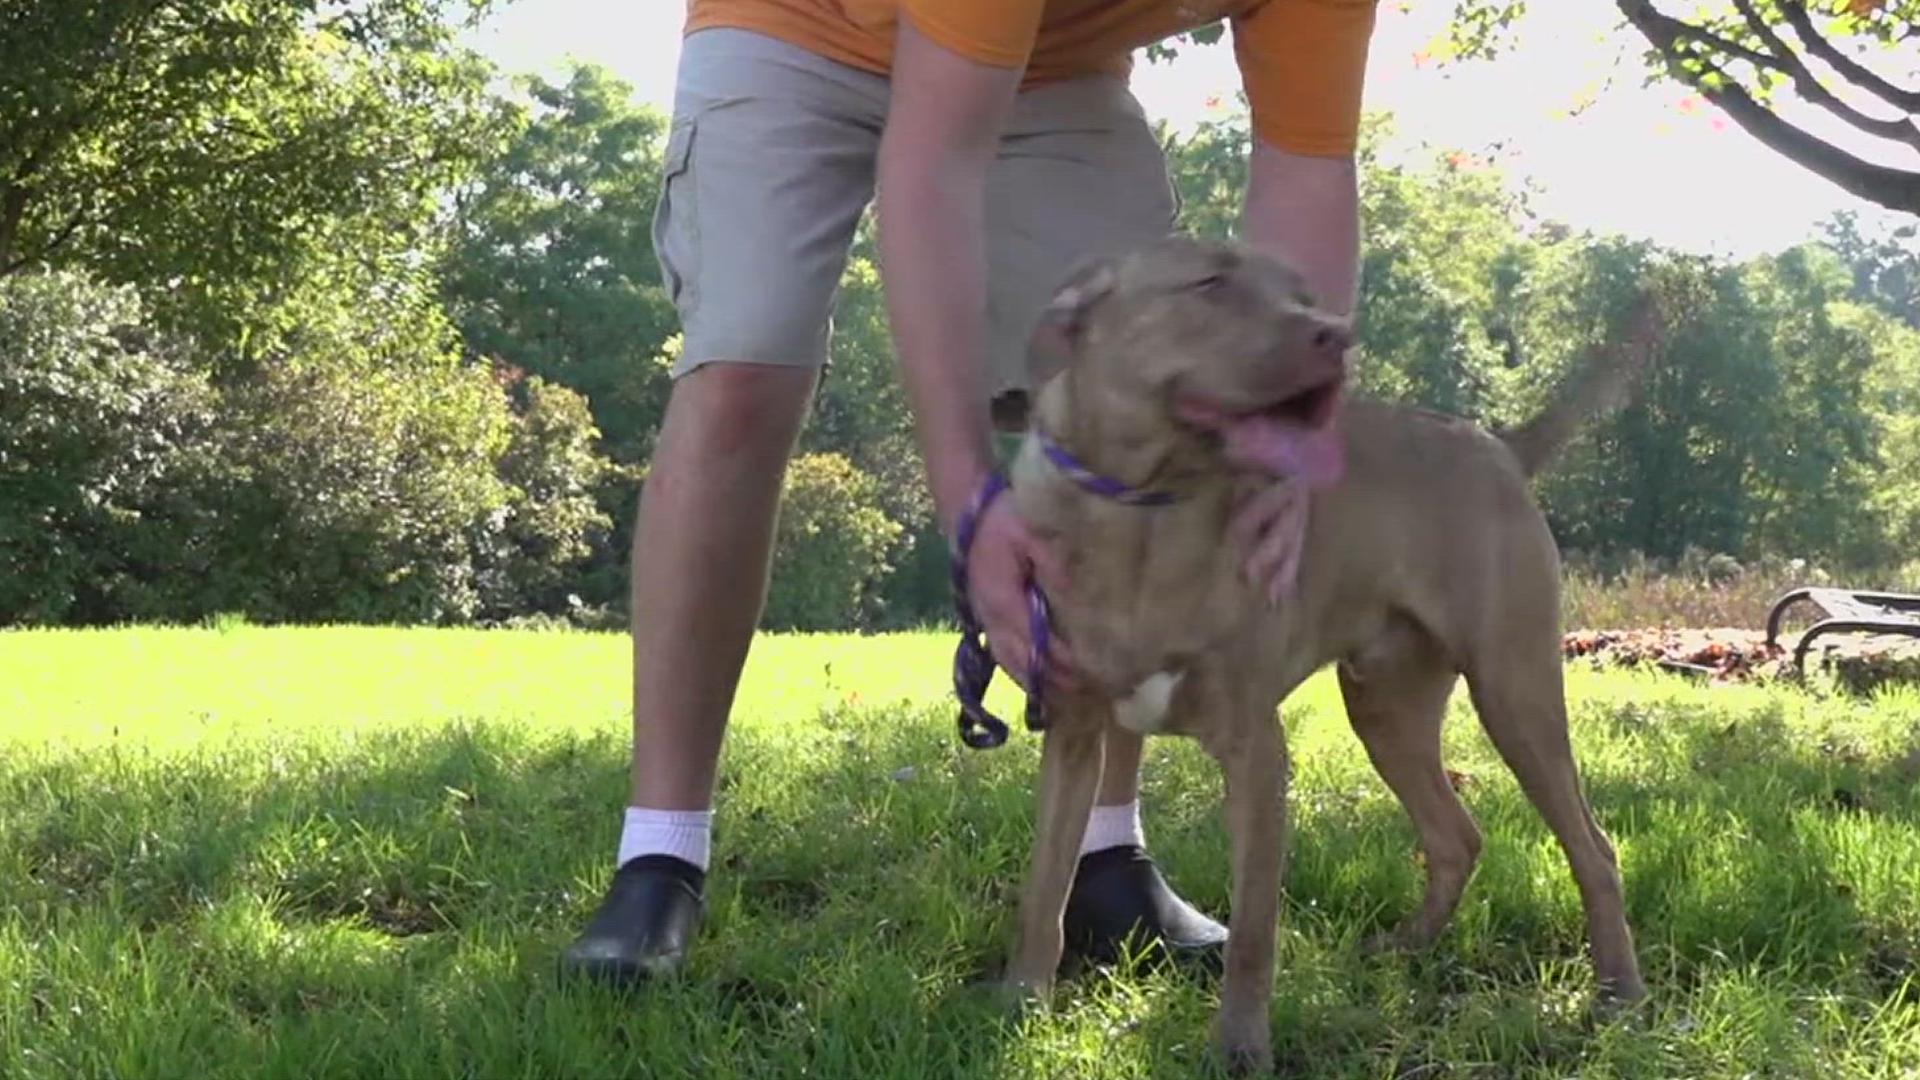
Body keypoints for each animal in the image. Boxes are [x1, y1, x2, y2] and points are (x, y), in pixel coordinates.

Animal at [1006, 231, 1651, 1060]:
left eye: (1301, 292)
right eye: (1210, 284)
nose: (1336, 335)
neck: (1145, 513)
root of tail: (1496, 444)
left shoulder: (1255, 748)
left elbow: (1254, 930)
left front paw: (1241, 1048)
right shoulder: (1073, 730)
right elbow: (1044, 887)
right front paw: (1018, 1002)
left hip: (1516, 691)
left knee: (1593, 849)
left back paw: (1618, 992)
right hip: (1389, 710)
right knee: (1457, 837)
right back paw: (1407, 947)